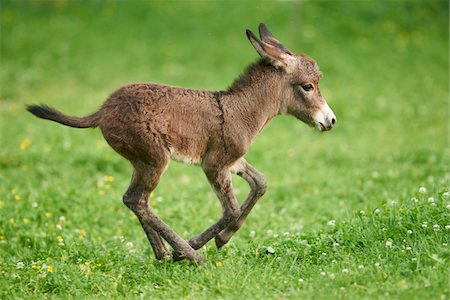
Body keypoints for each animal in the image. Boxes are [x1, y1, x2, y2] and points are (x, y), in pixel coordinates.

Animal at [27, 23, 334, 264]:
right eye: (308, 86)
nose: (331, 121)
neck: (241, 109)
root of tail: (102, 111)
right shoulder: (214, 165)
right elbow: (231, 210)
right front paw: (200, 245)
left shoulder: (233, 161)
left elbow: (261, 183)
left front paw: (223, 239)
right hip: (154, 158)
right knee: (137, 200)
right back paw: (187, 255)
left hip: (141, 161)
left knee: (134, 200)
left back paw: (163, 253)